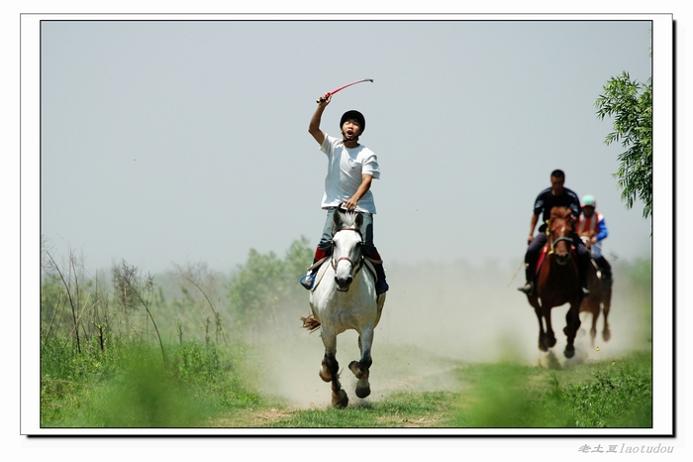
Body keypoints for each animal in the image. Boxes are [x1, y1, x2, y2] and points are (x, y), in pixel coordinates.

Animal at [306, 209, 386, 408]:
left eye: (359, 244)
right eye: (334, 243)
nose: (343, 279)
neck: (344, 294)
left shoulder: (366, 328)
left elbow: (365, 361)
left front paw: (361, 386)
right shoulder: (328, 329)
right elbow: (332, 363)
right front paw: (338, 398)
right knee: (329, 358)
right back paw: (325, 373)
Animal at [524, 208, 584, 360]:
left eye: (570, 231)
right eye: (552, 231)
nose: (562, 256)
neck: (559, 274)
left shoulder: (575, 298)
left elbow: (573, 320)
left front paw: (569, 347)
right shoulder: (546, 302)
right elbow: (548, 323)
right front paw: (550, 340)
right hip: (532, 298)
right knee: (538, 313)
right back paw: (542, 342)